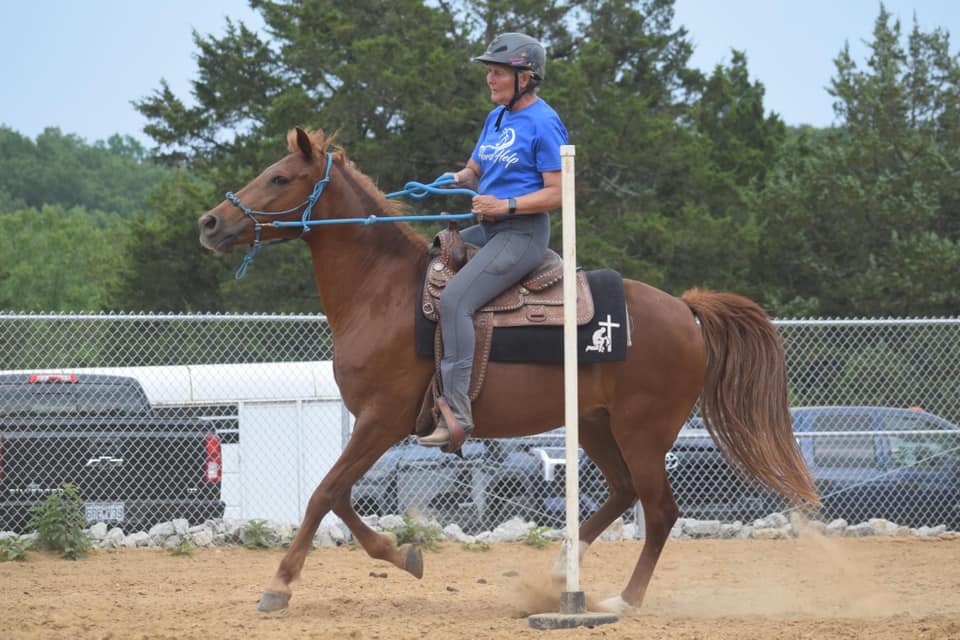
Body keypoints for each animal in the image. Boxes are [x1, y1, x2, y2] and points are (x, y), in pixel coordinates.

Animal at [198, 127, 819, 614]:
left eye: (279, 178)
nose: (209, 222)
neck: (383, 293)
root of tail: (686, 311)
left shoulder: (382, 420)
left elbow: (324, 493)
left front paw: (279, 585)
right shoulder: (378, 428)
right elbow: (342, 497)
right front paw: (404, 554)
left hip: (643, 431)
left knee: (660, 511)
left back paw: (623, 600)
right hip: (595, 424)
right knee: (621, 493)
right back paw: (560, 575)